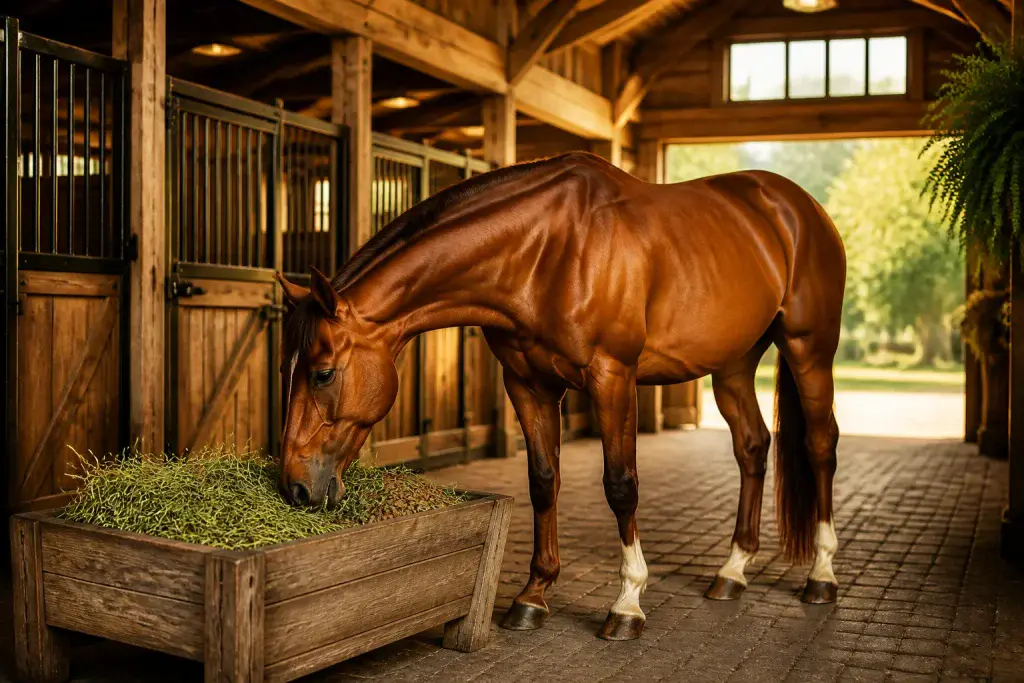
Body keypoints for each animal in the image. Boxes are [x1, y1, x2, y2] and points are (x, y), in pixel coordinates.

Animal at [275, 151, 845, 641]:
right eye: (287, 369)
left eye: (323, 374)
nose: (295, 487)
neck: (547, 250)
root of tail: (802, 209)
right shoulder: (527, 384)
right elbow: (543, 481)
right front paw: (532, 595)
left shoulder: (612, 377)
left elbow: (620, 485)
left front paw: (628, 603)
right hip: (733, 366)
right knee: (752, 446)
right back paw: (732, 571)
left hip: (809, 351)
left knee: (820, 445)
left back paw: (821, 576)